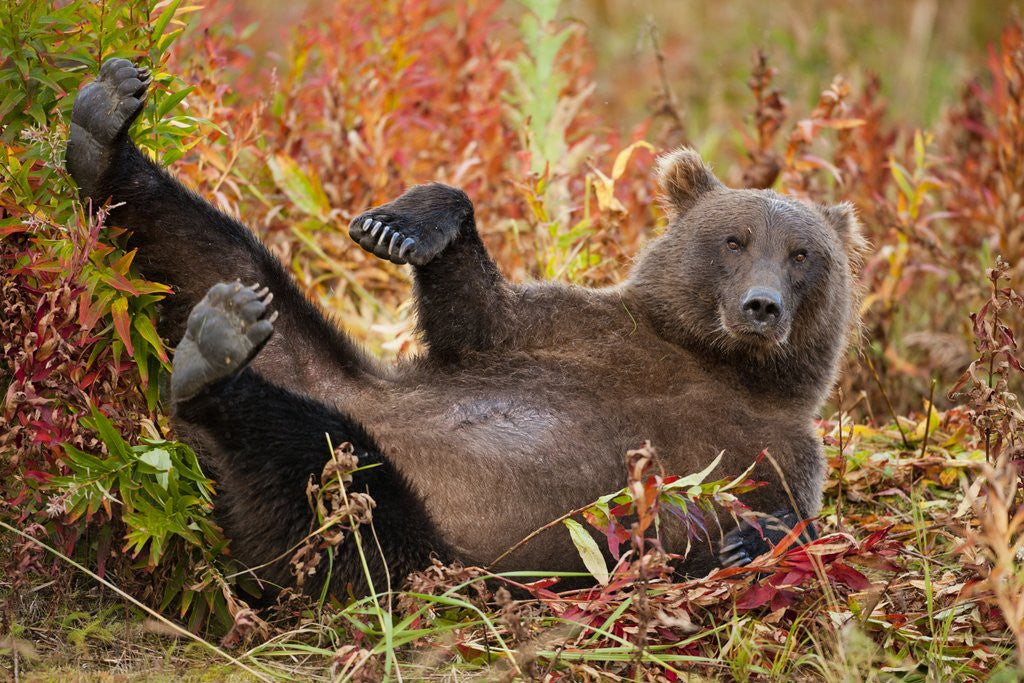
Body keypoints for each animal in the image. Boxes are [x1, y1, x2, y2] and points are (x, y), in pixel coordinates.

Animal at [65, 59, 865, 596]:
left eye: (802, 254)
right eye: (734, 240)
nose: (761, 305)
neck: (710, 360)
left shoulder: (775, 446)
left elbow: (788, 516)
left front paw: (745, 539)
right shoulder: (583, 329)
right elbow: (477, 314)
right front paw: (404, 224)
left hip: (406, 537)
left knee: (309, 457)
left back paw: (213, 356)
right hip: (318, 367)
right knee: (211, 254)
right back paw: (105, 129)